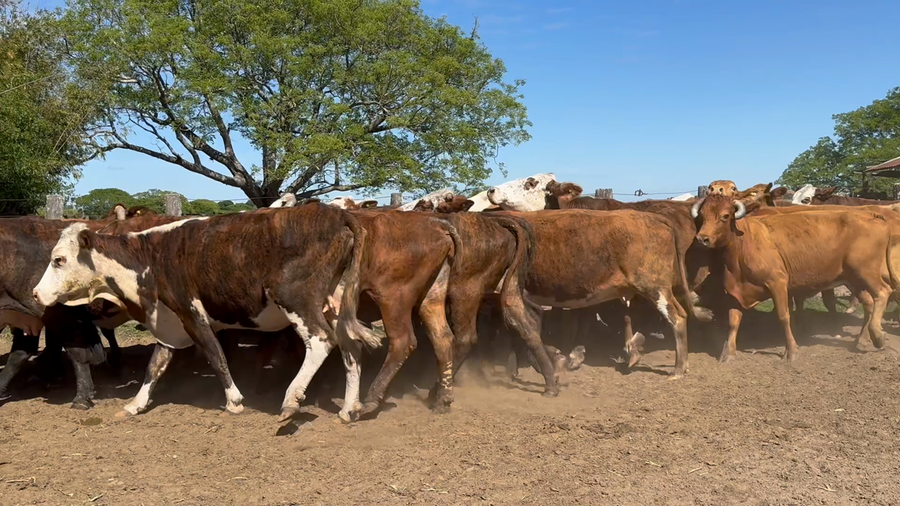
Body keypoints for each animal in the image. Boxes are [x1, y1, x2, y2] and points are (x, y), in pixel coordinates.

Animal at [32, 204, 380, 422]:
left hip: (297, 299)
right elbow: (155, 365)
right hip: (336, 304)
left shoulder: (191, 313)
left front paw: (234, 400)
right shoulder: (169, 323)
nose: (35, 293)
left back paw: (291, 400)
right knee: (351, 347)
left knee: (322, 341)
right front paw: (135, 405)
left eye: (59, 259)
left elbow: (215, 354)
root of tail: (337, 215)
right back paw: (350, 408)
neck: (150, 258)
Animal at [691, 193, 899, 362]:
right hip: (853, 279)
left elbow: (783, 316)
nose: (702, 239)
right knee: (869, 304)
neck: (743, 245)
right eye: (702, 216)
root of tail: (873, 216)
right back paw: (863, 339)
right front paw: (728, 353)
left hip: (865, 272)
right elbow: (733, 321)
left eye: (725, 216)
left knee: (883, 293)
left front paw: (791, 351)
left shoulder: (777, 282)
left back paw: (878, 336)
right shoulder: (736, 292)